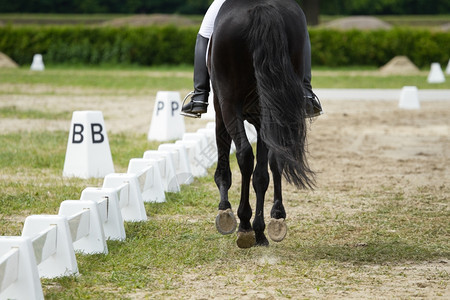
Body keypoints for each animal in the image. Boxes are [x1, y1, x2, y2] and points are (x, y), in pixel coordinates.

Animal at [209, 0, 314, 248]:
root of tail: (261, 7)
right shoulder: (261, 119)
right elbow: (262, 175)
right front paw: (260, 230)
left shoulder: (220, 109)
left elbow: (225, 161)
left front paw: (226, 213)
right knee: (274, 159)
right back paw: (274, 220)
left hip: (228, 104)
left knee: (244, 155)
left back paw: (244, 225)